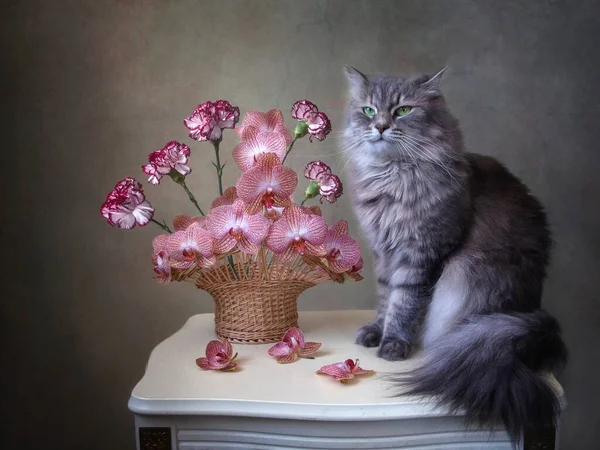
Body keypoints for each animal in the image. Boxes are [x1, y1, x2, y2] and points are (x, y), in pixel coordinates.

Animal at [342, 65, 568, 442]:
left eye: (403, 110)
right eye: (369, 110)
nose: (381, 126)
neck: (392, 177)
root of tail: (532, 315)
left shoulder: (422, 253)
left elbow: (403, 303)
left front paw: (393, 343)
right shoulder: (385, 254)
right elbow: (385, 299)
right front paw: (376, 331)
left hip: (465, 281)